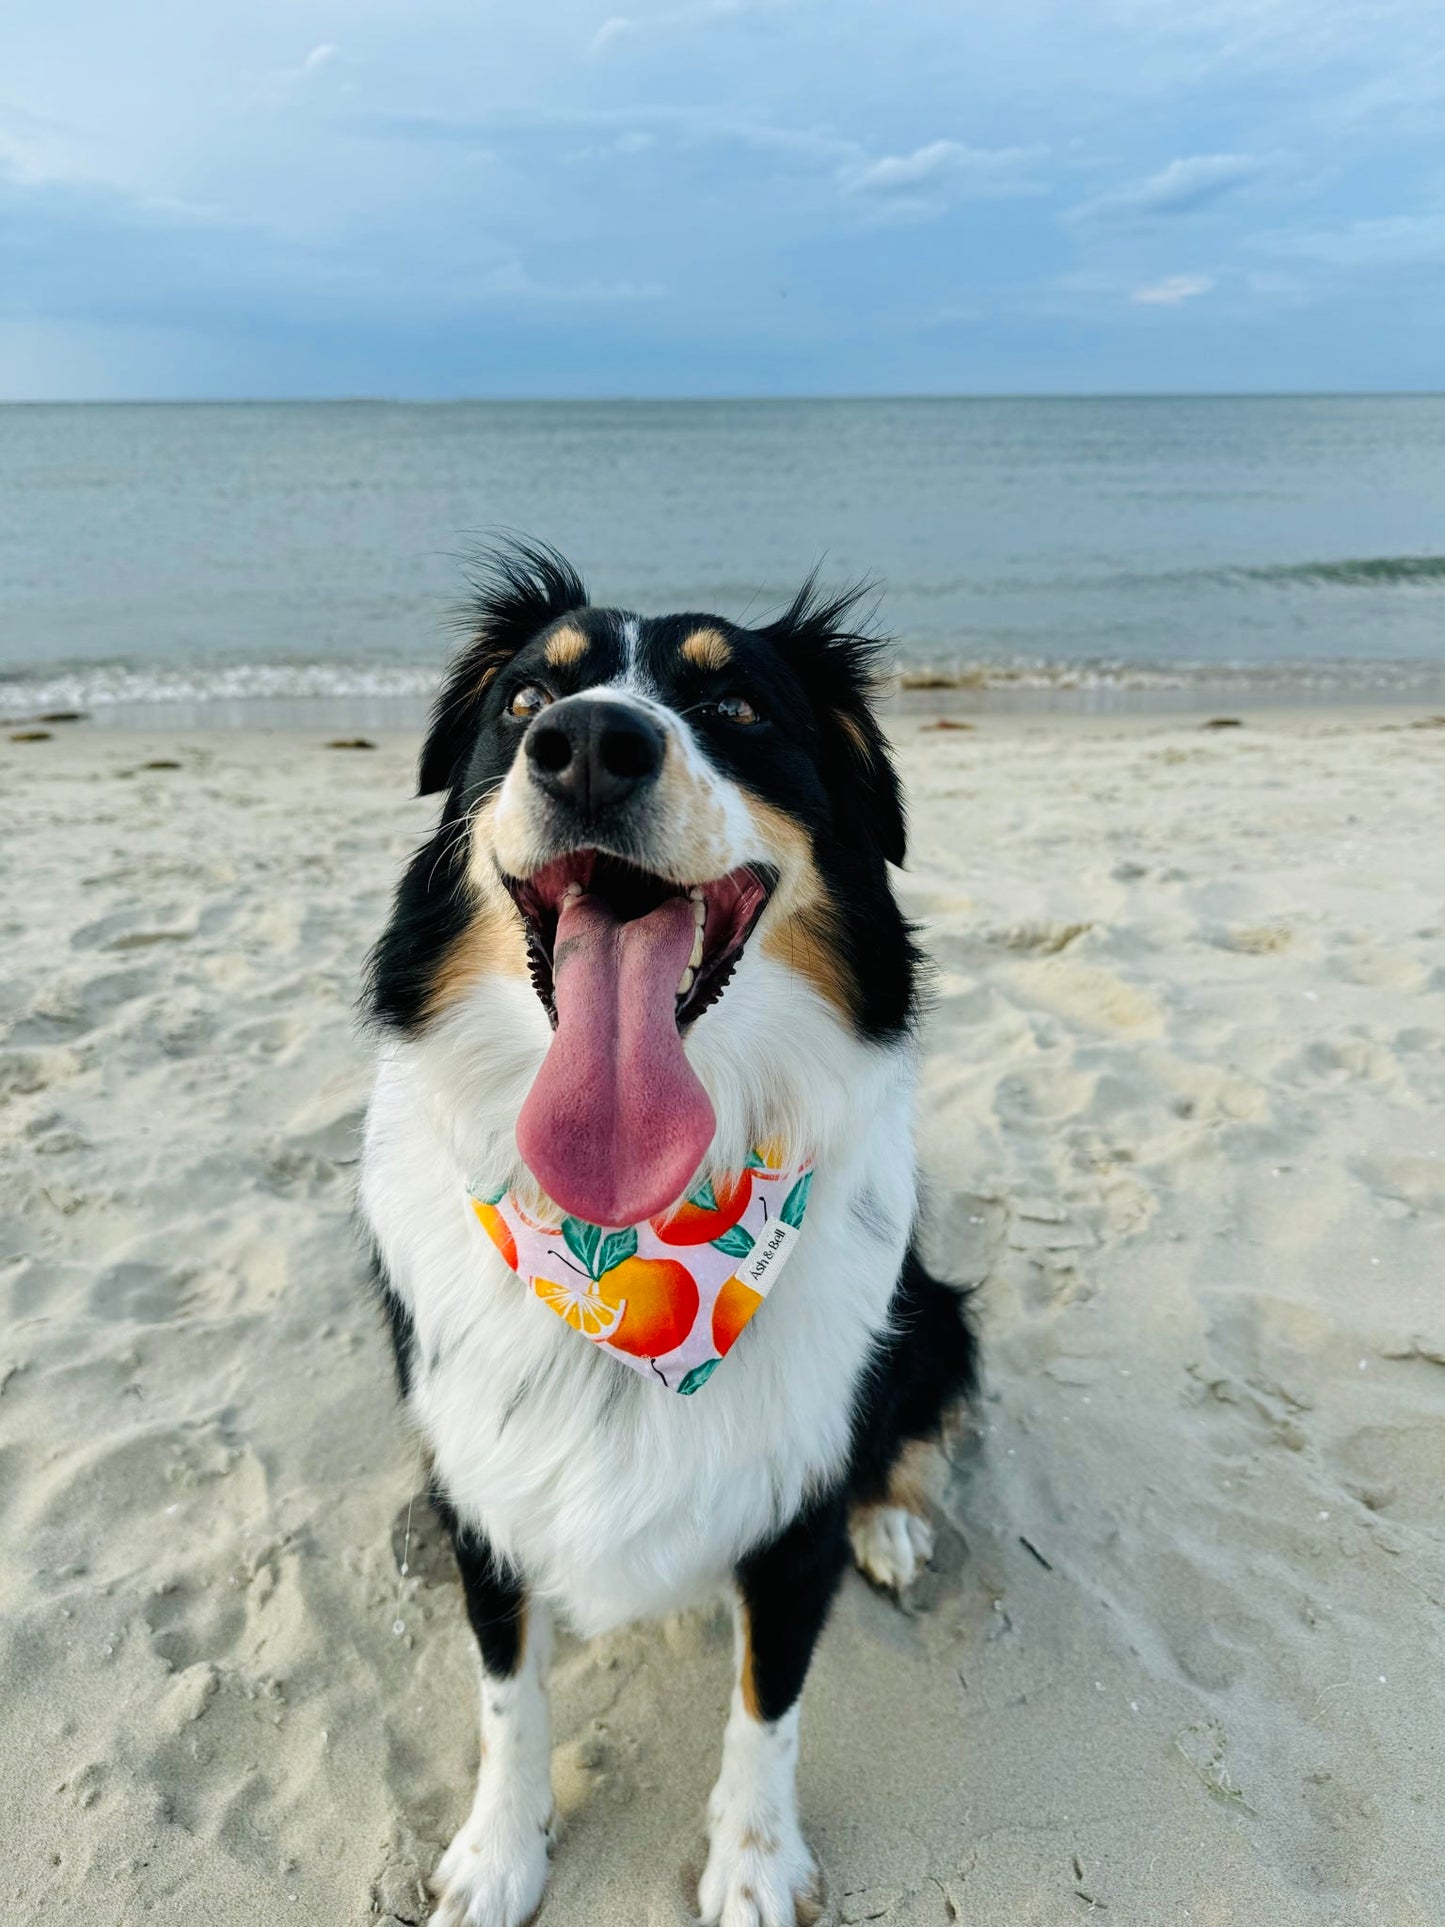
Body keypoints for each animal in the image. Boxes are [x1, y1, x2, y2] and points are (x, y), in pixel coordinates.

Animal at [356, 543, 978, 1927]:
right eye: (527, 700)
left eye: (736, 707)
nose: (590, 745)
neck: (633, 1229)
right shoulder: (486, 1489)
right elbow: (506, 1693)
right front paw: (499, 1854)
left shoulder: (791, 1512)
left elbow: (768, 1706)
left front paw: (752, 1863)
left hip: (935, 1310)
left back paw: (892, 1523)